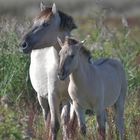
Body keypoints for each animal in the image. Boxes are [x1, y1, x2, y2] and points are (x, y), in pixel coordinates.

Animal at [19, 1, 77, 139]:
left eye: (45, 24)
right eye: (34, 22)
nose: (23, 44)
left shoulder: (70, 98)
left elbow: (67, 123)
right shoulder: (52, 96)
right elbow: (54, 125)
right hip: (42, 97)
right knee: (46, 117)